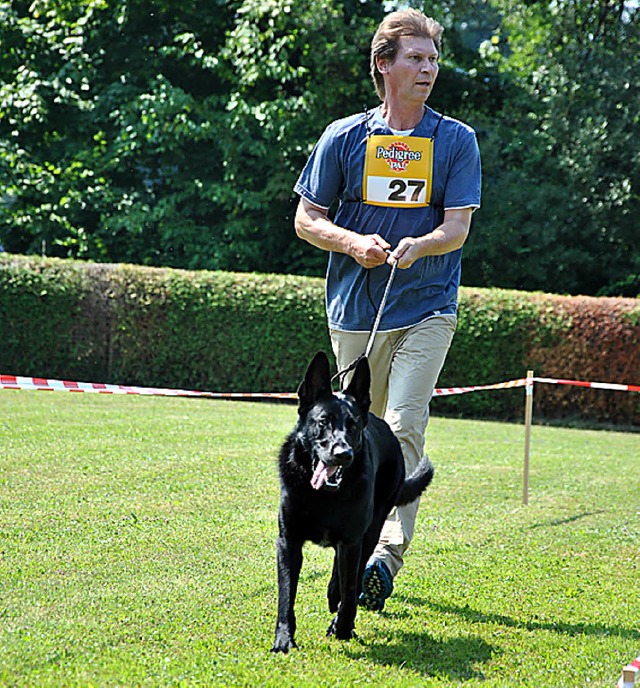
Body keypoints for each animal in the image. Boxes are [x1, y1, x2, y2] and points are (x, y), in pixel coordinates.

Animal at [270, 352, 436, 652]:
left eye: (354, 425)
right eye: (323, 421)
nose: (343, 454)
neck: (323, 497)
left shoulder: (352, 540)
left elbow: (349, 590)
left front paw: (343, 627)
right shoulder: (288, 542)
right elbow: (287, 593)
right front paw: (284, 639)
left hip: (371, 530)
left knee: (354, 573)